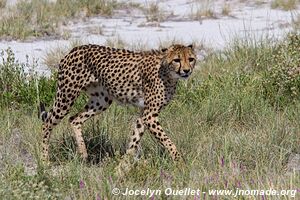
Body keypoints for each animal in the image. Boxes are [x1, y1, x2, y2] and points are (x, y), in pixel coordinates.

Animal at [40, 43, 197, 162]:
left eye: (191, 59)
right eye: (177, 60)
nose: (186, 70)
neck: (168, 73)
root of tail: (74, 49)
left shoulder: (144, 114)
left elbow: (134, 140)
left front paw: (123, 165)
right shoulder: (150, 116)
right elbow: (167, 141)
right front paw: (180, 162)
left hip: (101, 100)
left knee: (74, 119)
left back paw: (83, 153)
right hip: (66, 96)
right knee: (47, 122)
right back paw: (44, 160)